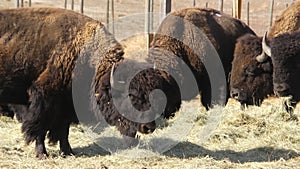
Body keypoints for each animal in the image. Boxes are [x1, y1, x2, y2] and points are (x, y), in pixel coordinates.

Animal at [0, 7, 180, 158]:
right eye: (131, 95)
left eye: (153, 96)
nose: (148, 127)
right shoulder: (43, 101)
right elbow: (40, 128)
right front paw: (42, 154)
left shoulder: (68, 106)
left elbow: (63, 130)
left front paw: (68, 151)